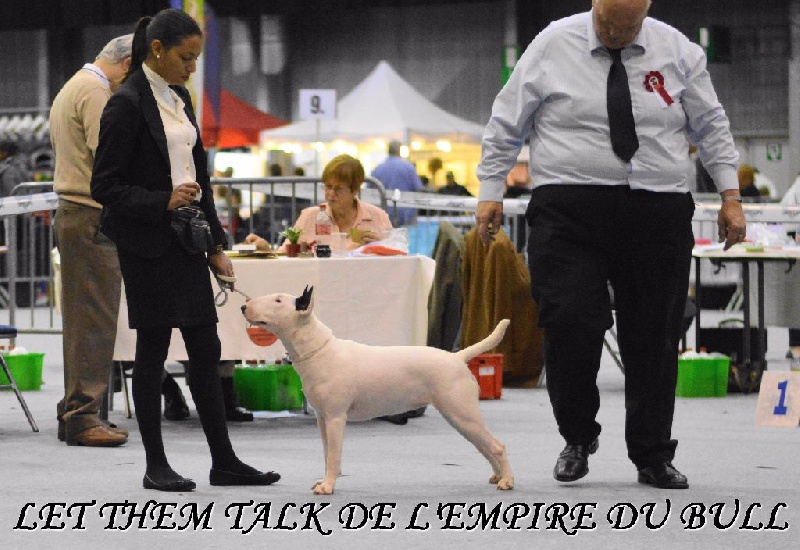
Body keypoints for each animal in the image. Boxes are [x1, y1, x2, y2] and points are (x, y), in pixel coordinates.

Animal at [242, 286, 514, 494]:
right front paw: (324, 480)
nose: (244, 307)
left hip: (461, 412)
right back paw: (497, 476)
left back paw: (507, 481)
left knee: (497, 445)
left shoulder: (336, 418)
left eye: (278, 300)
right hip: (458, 416)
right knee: (483, 445)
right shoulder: (322, 418)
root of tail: (457, 357)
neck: (318, 350)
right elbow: (327, 452)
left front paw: (327, 487)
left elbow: (334, 454)